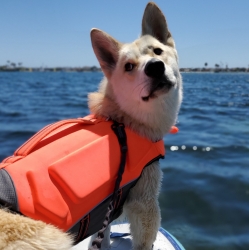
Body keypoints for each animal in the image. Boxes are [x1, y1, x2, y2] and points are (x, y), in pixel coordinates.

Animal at [0, 1, 183, 250]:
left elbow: (101, 236)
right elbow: (144, 240)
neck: (123, 118)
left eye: (157, 51)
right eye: (128, 66)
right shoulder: (144, 198)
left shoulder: (107, 210)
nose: (155, 67)